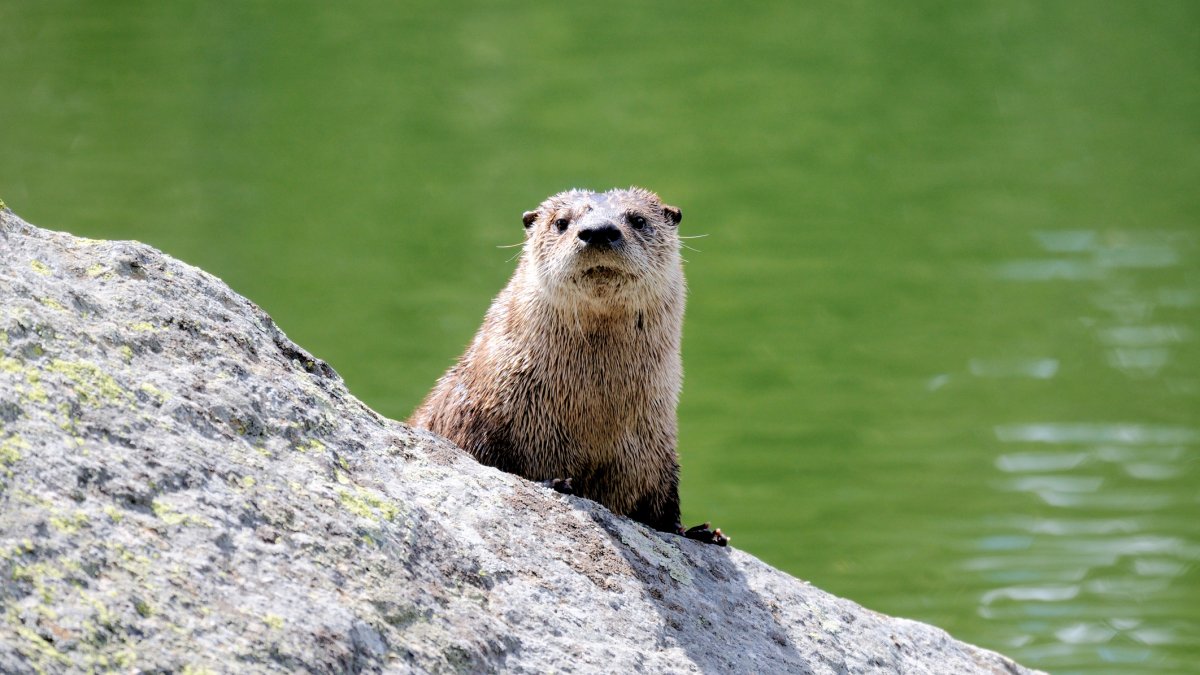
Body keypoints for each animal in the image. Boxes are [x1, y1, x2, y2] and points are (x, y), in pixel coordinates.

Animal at [410, 187, 727, 546]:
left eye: (638, 219)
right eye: (561, 222)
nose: (599, 231)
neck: (595, 419)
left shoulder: (656, 443)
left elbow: (664, 502)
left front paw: (698, 533)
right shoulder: (473, 419)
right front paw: (554, 482)